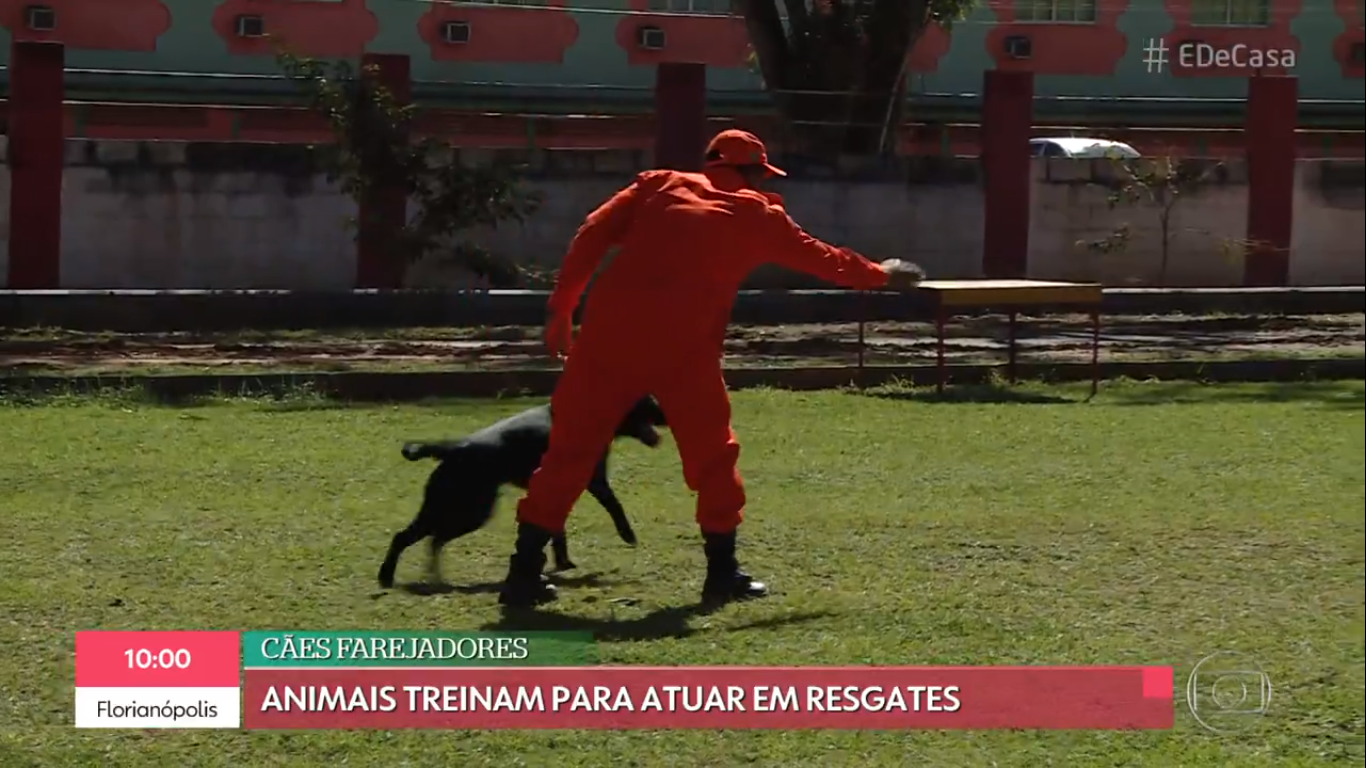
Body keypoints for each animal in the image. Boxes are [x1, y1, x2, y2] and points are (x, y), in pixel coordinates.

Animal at [379, 393, 666, 584]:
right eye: (649, 402)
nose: (666, 414)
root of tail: (455, 447)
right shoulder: (595, 483)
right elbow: (615, 507)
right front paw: (627, 534)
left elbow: (558, 531)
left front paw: (563, 562)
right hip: (468, 512)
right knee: (414, 538)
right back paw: (389, 576)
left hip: (450, 510)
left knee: (427, 540)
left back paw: (428, 577)